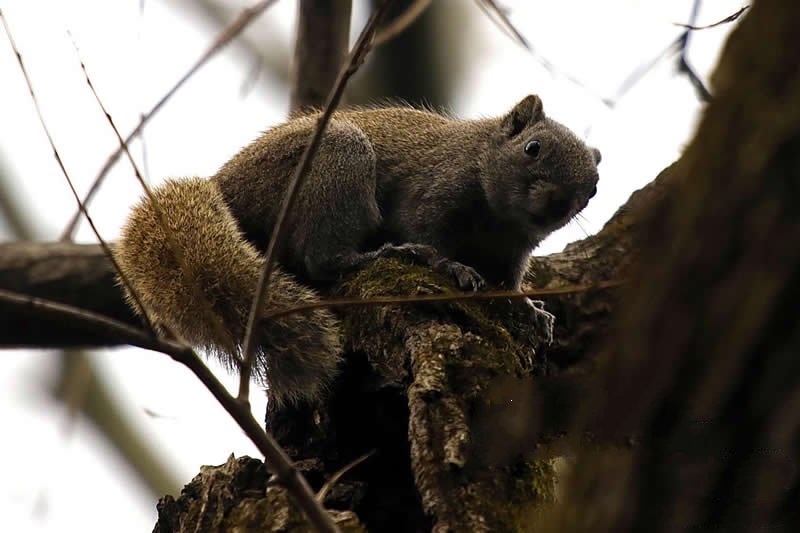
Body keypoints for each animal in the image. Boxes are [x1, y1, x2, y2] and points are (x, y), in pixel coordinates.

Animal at [114, 93, 600, 406]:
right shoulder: (434, 193)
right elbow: (429, 236)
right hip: (336, 164)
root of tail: (224, 188)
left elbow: (510, 283)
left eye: (593, 188)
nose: (558, 203)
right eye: (532, 148)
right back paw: (379, 255)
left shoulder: (515, 252)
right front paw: (452, 267)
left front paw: (530, 310)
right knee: (321, 258)